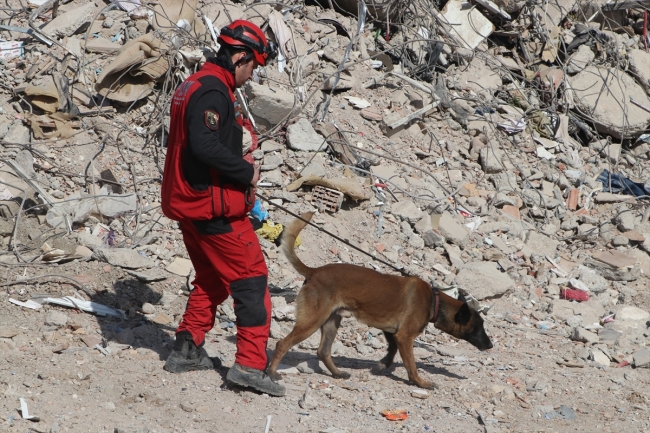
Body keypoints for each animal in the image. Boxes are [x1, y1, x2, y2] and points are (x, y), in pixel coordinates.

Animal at [268, 213, 492, 388]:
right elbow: (411, 364)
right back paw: (272, 372)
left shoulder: (392, 332)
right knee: (282, 343)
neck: (434, 300)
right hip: (312, 322)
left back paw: (337, 373)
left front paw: (382, 365)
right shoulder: (405, 336)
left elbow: (392, 351)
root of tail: (314, 272)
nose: (490, 345)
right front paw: (420, 382)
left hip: (331, 322)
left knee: (323, 351)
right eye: (478, 326)